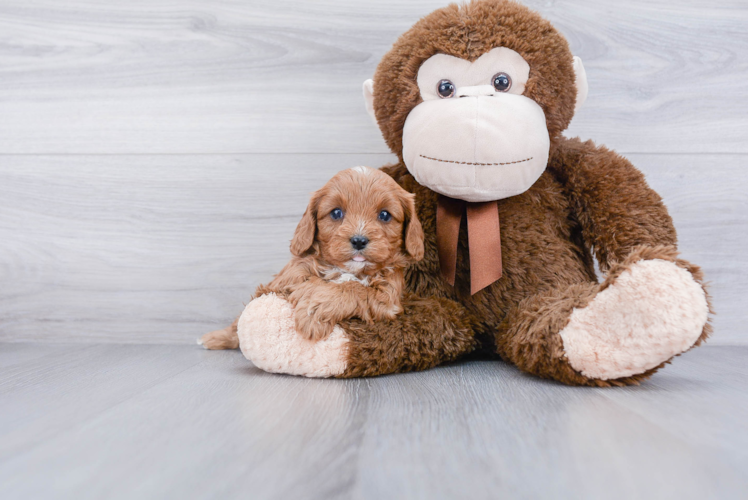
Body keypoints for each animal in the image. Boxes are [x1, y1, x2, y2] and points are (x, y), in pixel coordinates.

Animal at [199, 166, 424, 350]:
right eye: (336, 213)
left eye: (385, 215)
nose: (359, 240)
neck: (348, 270)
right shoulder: (288, 276)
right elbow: (311, 280)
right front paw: (312, 306)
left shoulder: (388, 297)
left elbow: (355, 289)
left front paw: (315, 310)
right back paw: (215, 338)